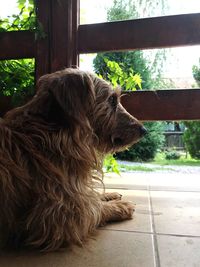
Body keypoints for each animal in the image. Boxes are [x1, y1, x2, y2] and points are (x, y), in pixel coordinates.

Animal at [0, 68, 147, 252]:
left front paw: (108, 195)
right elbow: (92, 209)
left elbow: (91, 196)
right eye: (112, 100)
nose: (144, 130)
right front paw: (117, 206)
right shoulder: (56, 217)